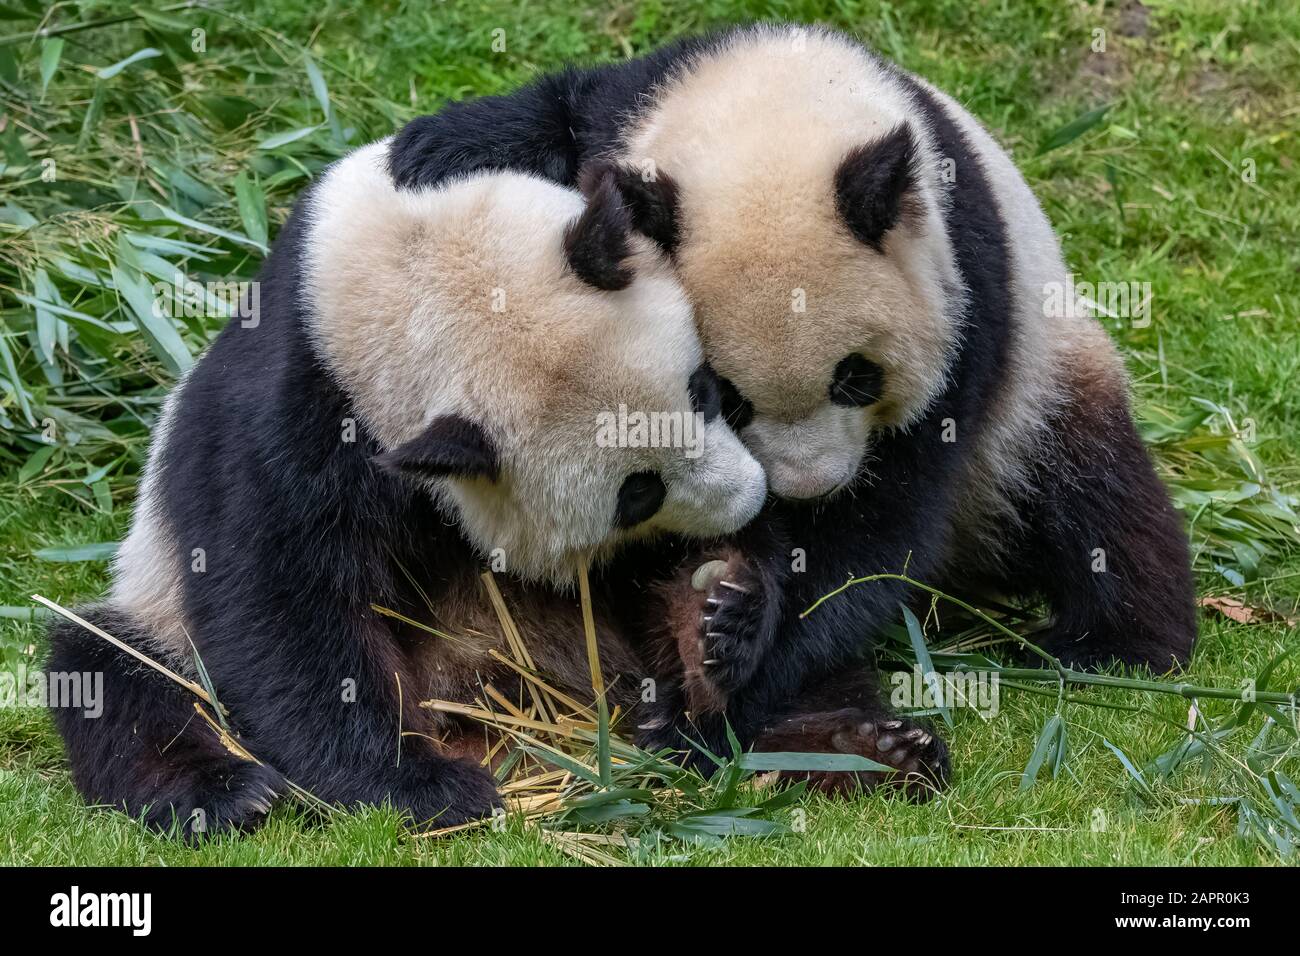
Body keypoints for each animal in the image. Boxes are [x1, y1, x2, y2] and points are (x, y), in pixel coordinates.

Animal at [379, 22, 1190, 775]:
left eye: (856, 377)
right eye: (728, 398)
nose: (807, 489)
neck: (777, 109)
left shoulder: (968, 296)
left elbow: (874, 534)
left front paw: (718, 667)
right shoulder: (628, 108)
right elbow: (551, 115)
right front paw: (429, 153)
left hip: (1038, 387)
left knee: (1092, 495)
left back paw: (1113, 646)